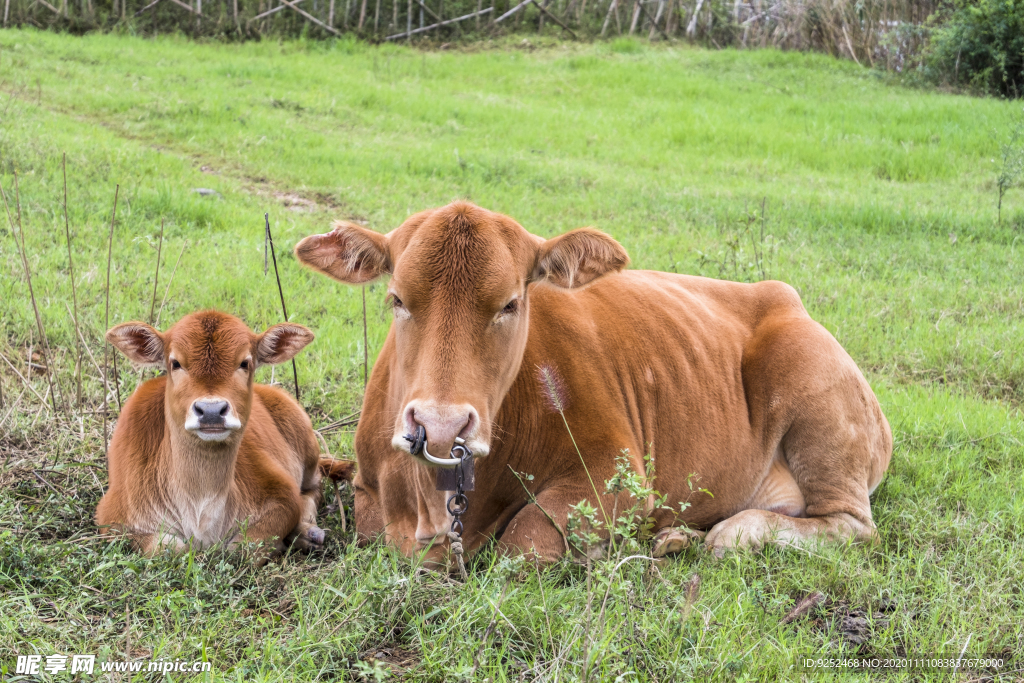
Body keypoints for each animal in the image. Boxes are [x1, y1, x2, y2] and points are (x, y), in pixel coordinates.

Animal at [96, 313, 352, 557]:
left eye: (245, 363)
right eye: (175, 363)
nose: (211, 411)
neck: (201, 505)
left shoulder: (283, 496)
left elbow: (243, 547)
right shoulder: (111, 518)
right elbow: (170, 548)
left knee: (313, 488)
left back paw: (306, 533)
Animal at [294, 200, 888, 565]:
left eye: (511, 303)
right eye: (397, 298)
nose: (441, 425)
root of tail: (784, 297)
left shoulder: (617, 473)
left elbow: (526, 541)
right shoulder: (370, 490)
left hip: (816, 392)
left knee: (851, 524)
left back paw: (728, 533)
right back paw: (676, 538)